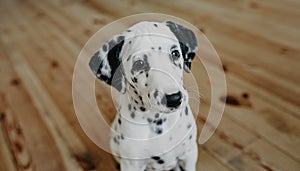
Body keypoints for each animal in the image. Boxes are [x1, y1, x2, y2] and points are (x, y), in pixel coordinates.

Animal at [90, 21, 198, 171]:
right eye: (139, 64)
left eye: (175, 53)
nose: (174, 99)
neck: (159, 120)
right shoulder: (132, 164)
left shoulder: (189, 153)